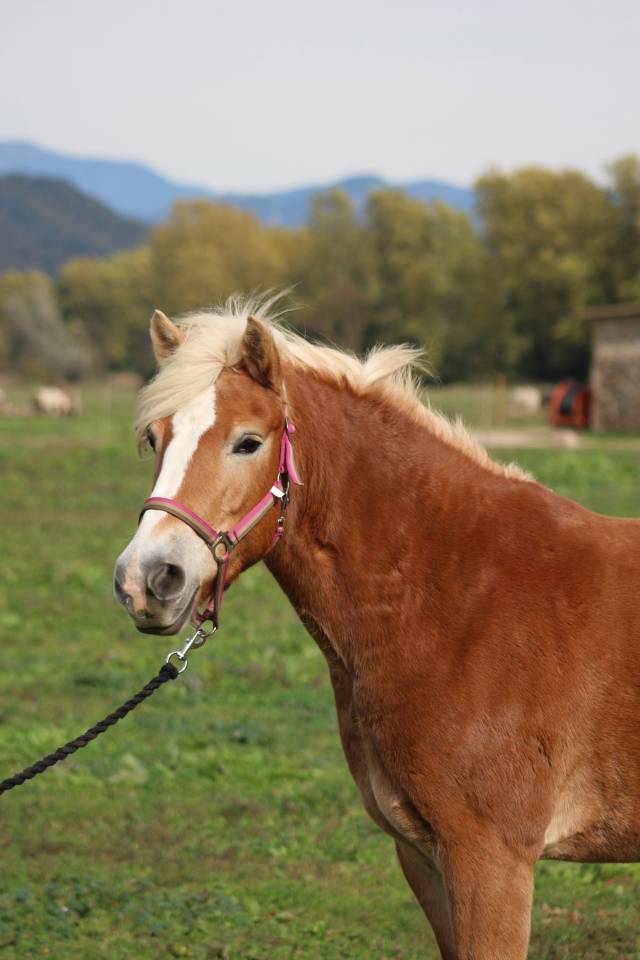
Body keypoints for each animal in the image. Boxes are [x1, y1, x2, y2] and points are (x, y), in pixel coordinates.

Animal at [114, 296, 640, 959]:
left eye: (248, 442)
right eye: (153, 438)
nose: (146, 579)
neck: (461, 598)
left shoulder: (493, 860)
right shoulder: (422, 857)